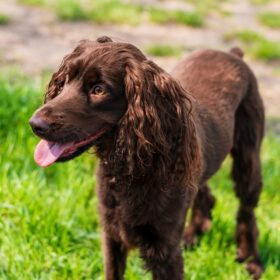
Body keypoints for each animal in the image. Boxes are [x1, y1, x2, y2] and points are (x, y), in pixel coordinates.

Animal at [29, 37, 264, 280]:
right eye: (65, 80)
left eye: (99, 90)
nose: (35, 124)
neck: (130, 169)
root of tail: (232, 54)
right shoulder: (112, 234)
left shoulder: (165, 250)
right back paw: (194, 234)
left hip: (248, 158)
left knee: (247, 212)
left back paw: (251, 260)